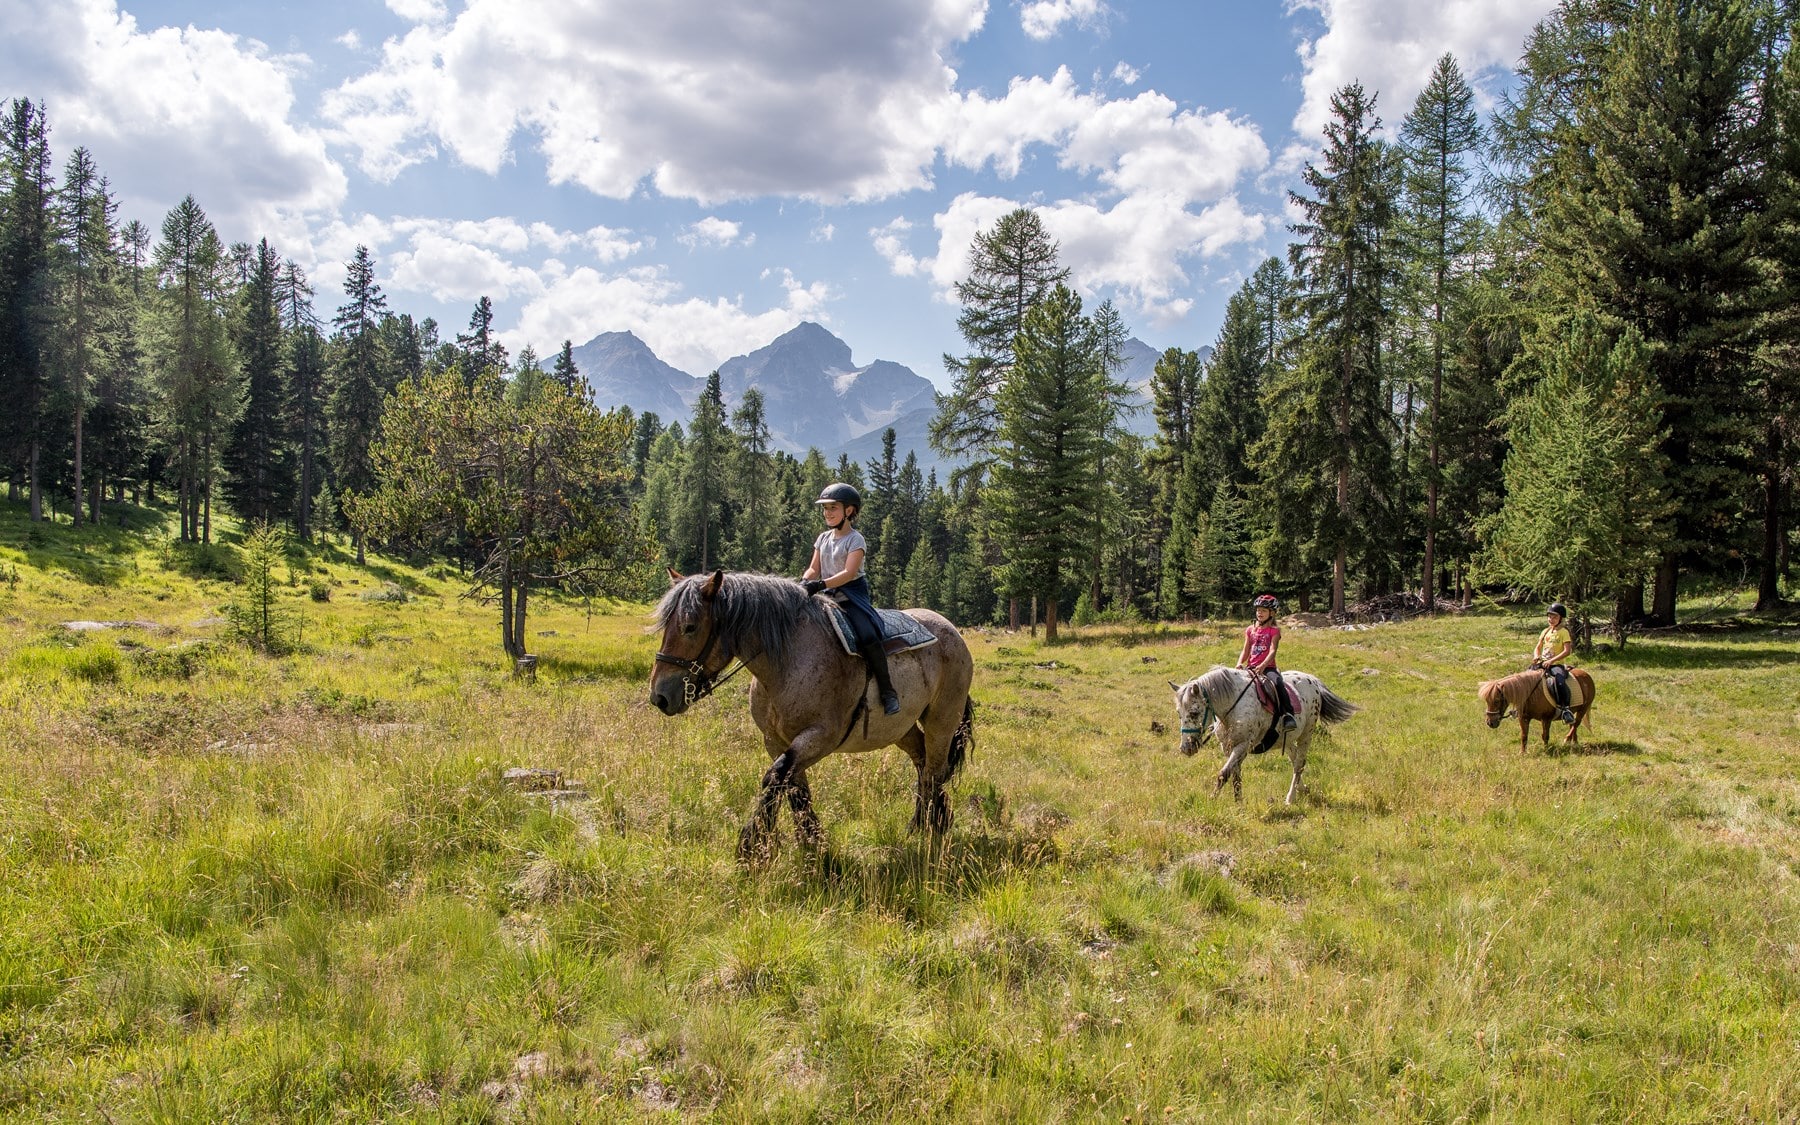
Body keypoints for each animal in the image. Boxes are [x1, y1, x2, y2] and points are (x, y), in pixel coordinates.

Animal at [655, 568, 979, 860]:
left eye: (690, 627)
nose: (660, 696)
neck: (788, 661)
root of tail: (951, 631)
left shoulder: (820, 737)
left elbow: (775, 778)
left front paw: (753, 847)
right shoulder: (776, 741)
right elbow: (794, 787)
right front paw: (811, 842)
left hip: (942, 721)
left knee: (934, 771)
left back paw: (931, 826)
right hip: (902, 728)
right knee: (922, 762)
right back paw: (927, 822)